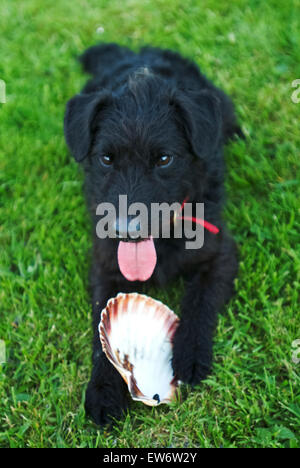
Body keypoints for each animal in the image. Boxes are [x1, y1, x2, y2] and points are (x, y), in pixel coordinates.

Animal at [63, 42, 241, 426]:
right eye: (106, 158)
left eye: (163, 159)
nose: (126, 231)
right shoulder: (105, 267)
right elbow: (101, 331)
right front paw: (103, 389)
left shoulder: (221, 254)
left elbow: (200, 301)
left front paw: (190, 354)